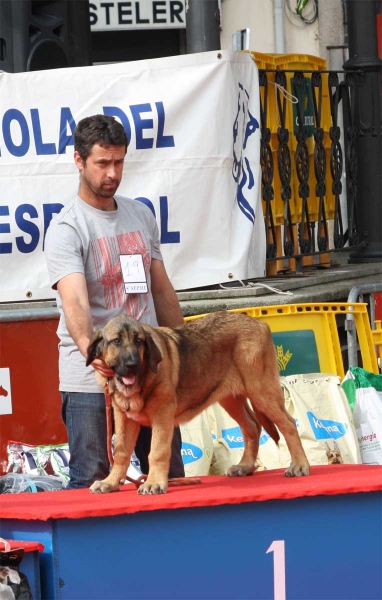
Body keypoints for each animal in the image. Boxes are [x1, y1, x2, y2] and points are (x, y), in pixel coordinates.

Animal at [86, 312, 310, 494]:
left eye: (139, 341)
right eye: (116, 341)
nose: (133, 365)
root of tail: (260, 323)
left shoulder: (162, 415)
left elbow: (157, 451)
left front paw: (154, 483)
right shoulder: (124, 418)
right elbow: (121, 452)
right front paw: (111, 482)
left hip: (261, 392)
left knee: (288, 424)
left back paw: (299, 465)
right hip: (232, 399)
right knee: (251, 426)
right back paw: (245, 466)